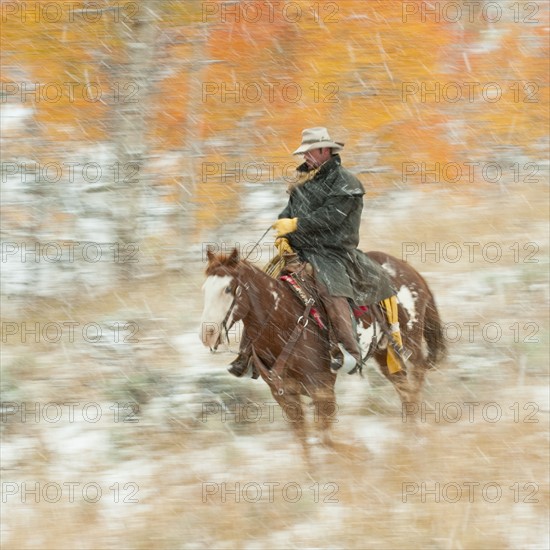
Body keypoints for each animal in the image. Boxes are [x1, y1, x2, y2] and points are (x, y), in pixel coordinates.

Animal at [201, 248, 446, 460]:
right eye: (205, 289)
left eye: (228, 289)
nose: (207, 334)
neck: (283, 321)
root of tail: (408, 269)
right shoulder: (284, 394)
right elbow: (305, 441)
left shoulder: (322, 388)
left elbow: (325, 438)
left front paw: (357, 452)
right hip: (384, 353)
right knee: (403, 388)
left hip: (410, 342)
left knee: (415, 383)